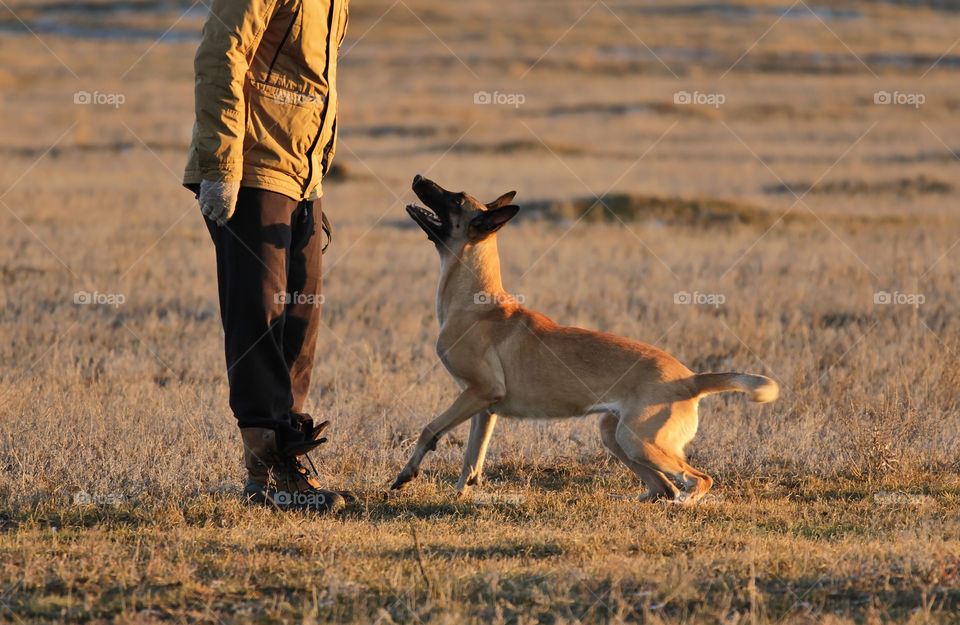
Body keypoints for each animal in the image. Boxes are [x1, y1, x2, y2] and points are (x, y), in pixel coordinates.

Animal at [392, 174, 780, 502]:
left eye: (456, 199)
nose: (417, 177)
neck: (475, 301)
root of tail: (690, 379)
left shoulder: (479, 393)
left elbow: (429, 431)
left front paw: (405, 475)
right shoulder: (483, 407)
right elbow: (471, 460)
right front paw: (460, 495)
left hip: (637, 440)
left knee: (695, 480)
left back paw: (683, 503)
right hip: (615, 435)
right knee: (661, 488)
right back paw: (630, 500)